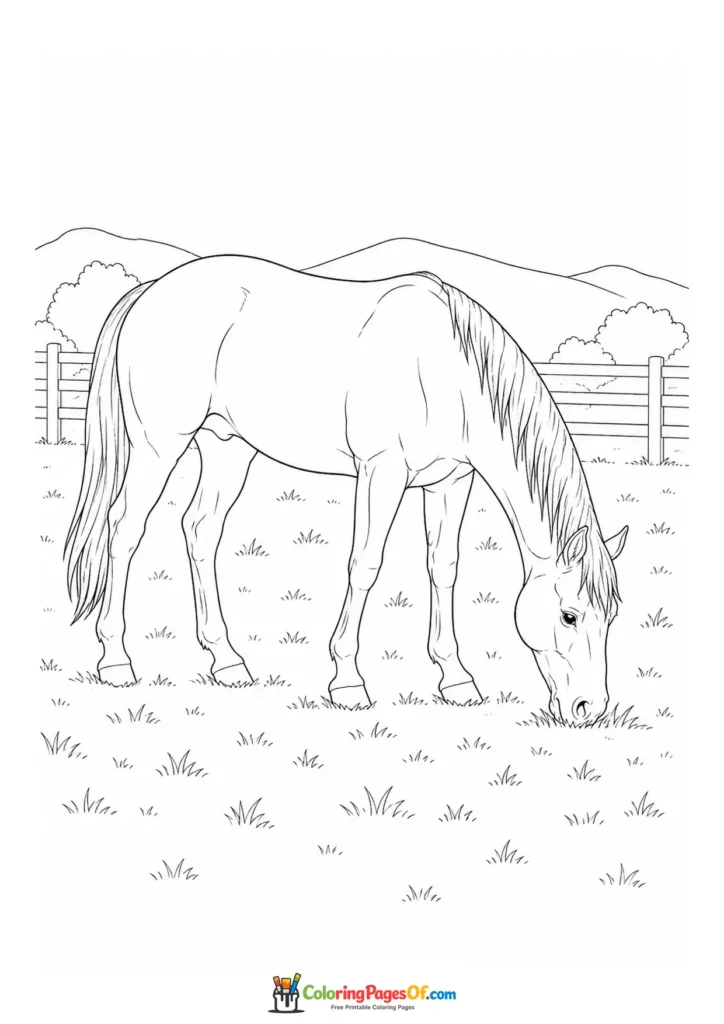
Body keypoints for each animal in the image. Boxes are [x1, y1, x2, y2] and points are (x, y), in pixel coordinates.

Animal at [66, 255, 628, 722]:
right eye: (570, 615)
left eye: (612, 616)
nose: (589, 709)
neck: (447, 370)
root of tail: (149, 290)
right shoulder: (382, 473)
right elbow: (365, 566)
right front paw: (348, 682)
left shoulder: (450, 481)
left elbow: (444, 569)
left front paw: (456, 680)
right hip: (158, 447)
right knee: (125, 529)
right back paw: (116, 662)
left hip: (226, 446)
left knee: (200, 531)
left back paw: (227, 662)